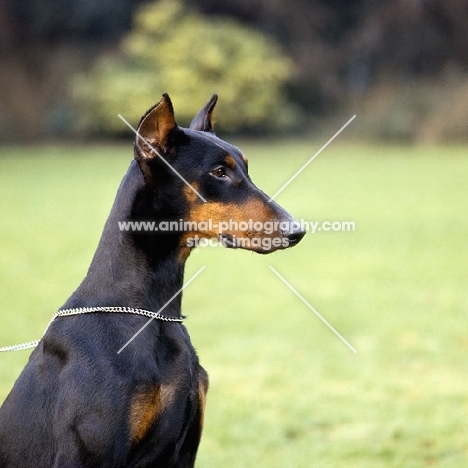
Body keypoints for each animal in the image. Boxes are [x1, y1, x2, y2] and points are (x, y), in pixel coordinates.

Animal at [0, 93, 306, 466]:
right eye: (219, 172)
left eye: (246, 168)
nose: (297, 230)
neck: (152, 313)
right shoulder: (88, 453)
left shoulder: (185, 448)